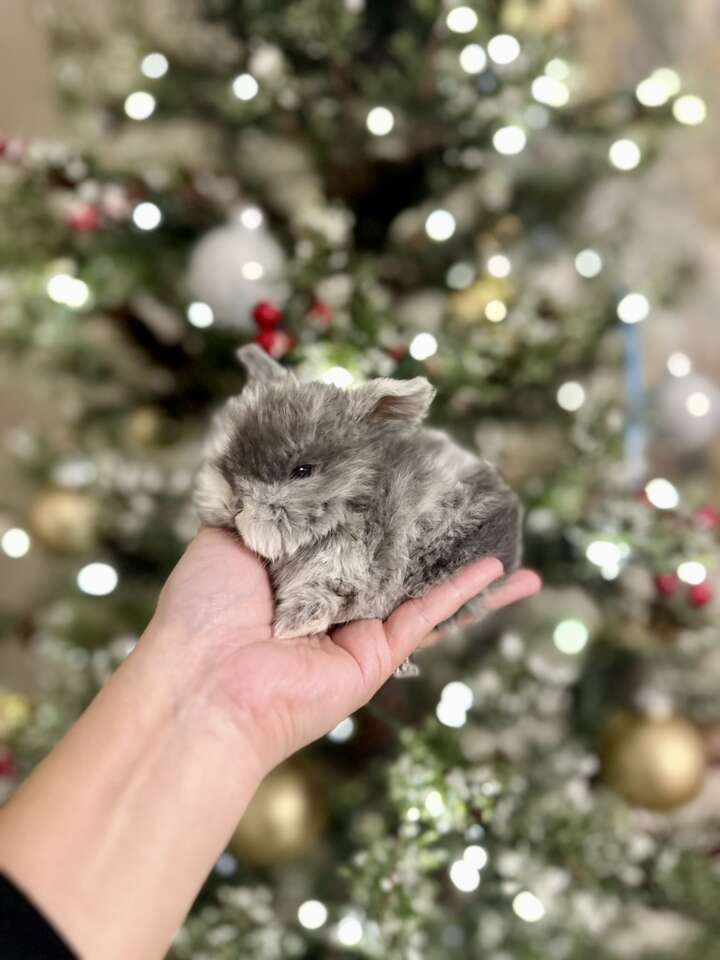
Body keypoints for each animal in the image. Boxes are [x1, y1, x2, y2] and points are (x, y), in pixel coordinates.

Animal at [195, 344, 524, 644]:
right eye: (229, 451)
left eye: (303, 471)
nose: (235, 504)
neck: (353, 503)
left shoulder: (343, 571)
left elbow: (323, 594)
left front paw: (292, 626)